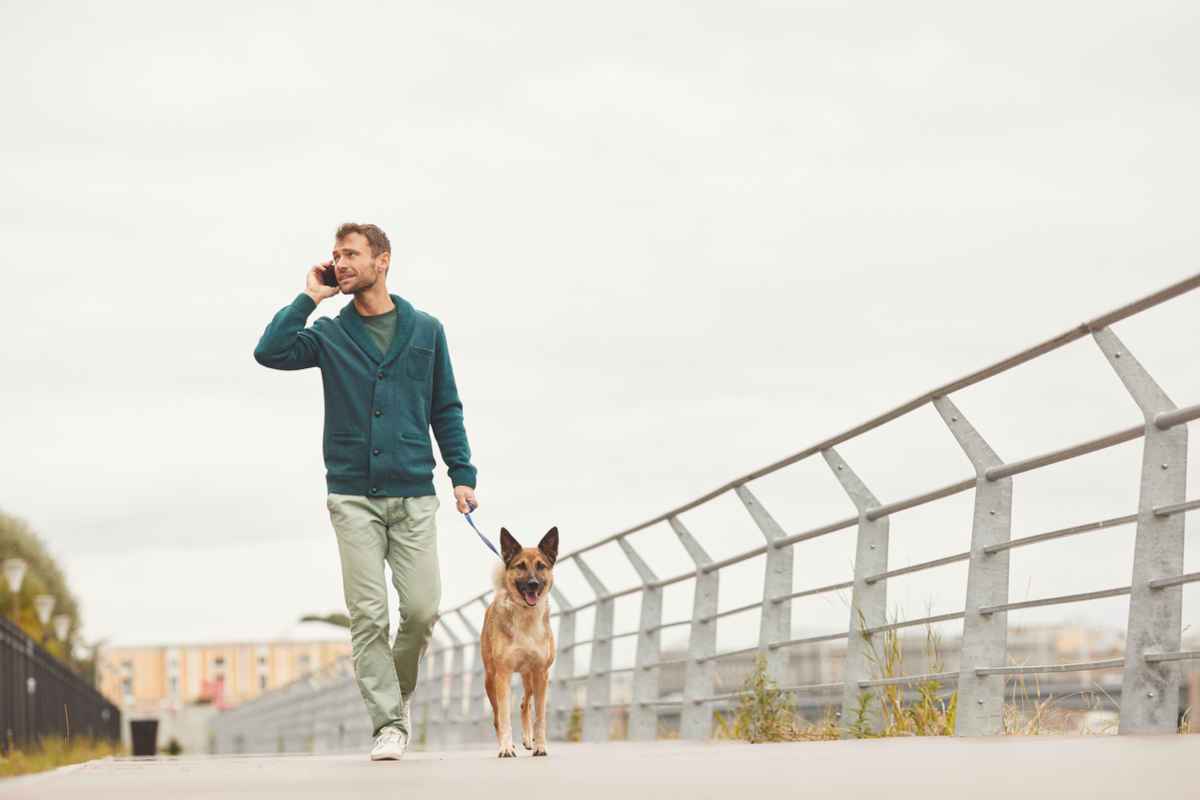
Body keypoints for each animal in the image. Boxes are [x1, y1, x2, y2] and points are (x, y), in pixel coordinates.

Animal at [477, 525, 556, 758]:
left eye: (541, 566)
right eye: (520, 566)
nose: (533, 584)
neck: (526, 617)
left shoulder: (541, 674)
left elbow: (540, 716)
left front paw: (540, 746)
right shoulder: (502, 674)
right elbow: (503, 717)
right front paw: (506, 747)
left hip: (529, 677)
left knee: (524, 704)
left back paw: (528, 740)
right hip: (490, 679)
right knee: (497, 717)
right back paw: (509, 745)